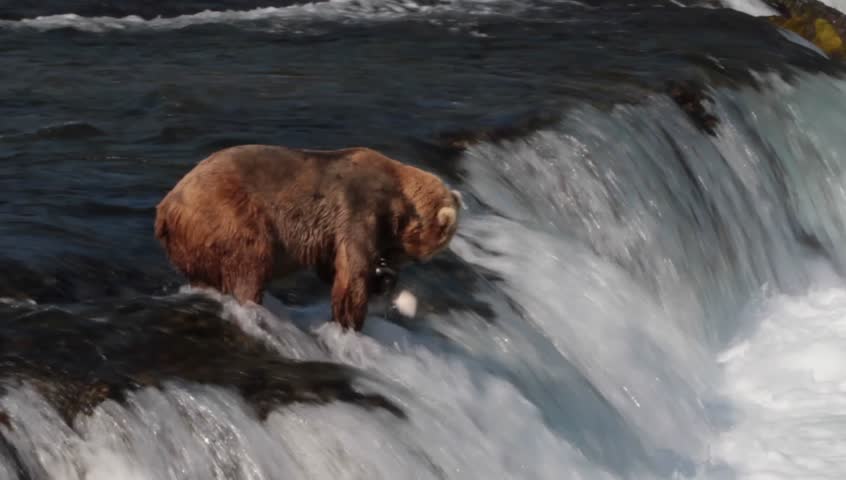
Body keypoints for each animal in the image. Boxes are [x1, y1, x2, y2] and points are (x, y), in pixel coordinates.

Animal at [154, 144, 461, 331]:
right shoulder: (360, 209)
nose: (389, 271)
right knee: (250, 261)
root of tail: (165, 208)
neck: (399, 200)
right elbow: (352, 272)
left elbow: (331, 266)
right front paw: (349, 322)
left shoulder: (333, 233)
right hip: (227, 215)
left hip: (191, 243)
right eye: (414, 255)